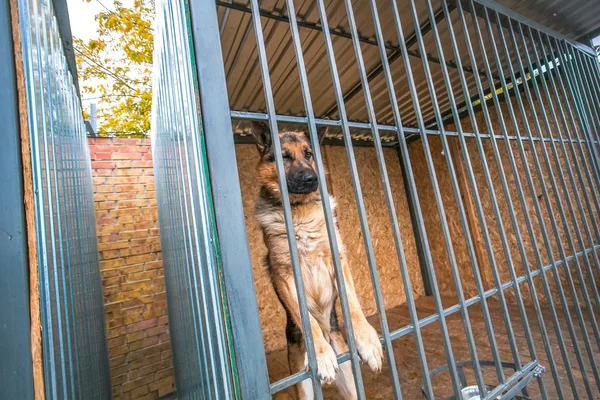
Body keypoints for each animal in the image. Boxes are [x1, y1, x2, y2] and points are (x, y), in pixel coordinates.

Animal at [251, 122, 382, 400]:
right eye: (284, 157)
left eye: (309, 154)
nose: (312, 179)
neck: (299, 211)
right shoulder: (284, 276)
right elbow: (308, 321)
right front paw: (322, 355)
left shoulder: (337, 259)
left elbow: (353, 303)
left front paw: (366, 339)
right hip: (305, 387)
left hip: (351, 382)